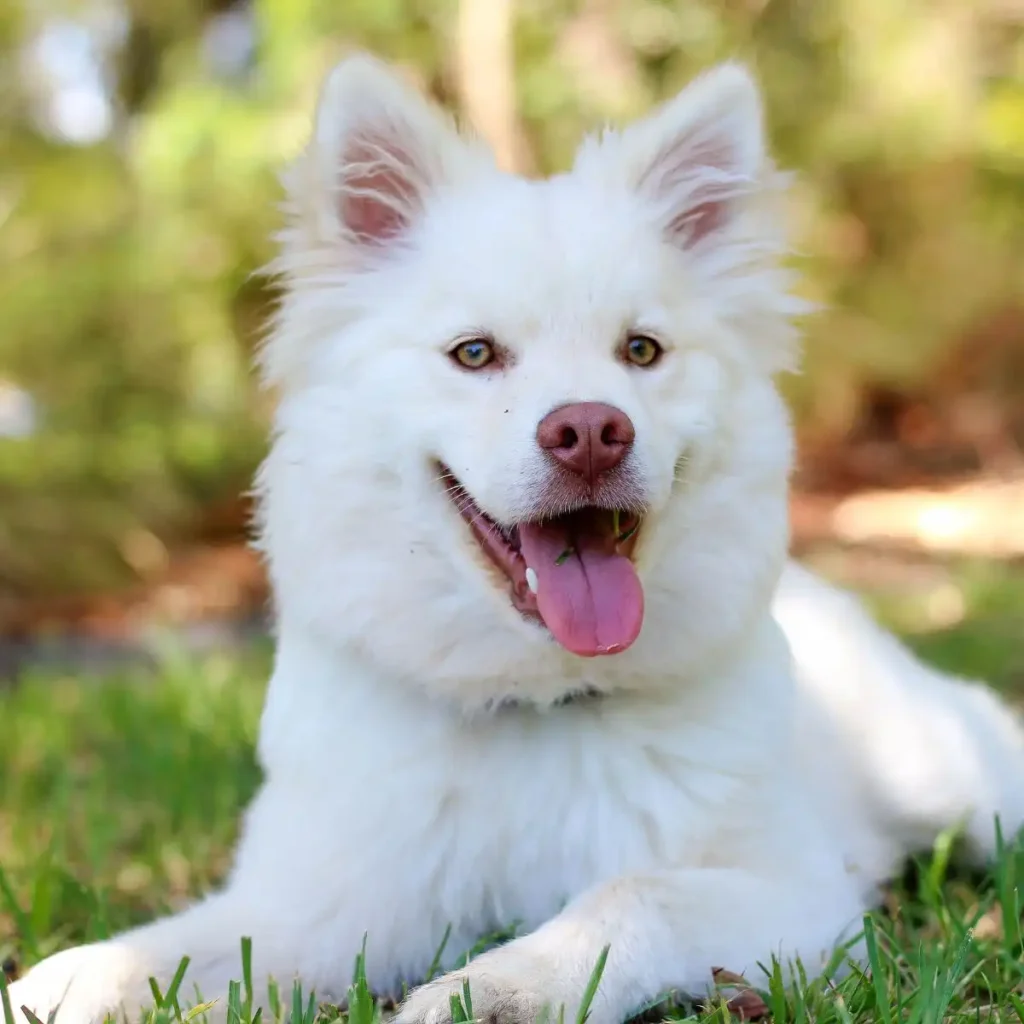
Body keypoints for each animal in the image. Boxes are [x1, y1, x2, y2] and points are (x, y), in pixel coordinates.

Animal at [8, 54, 1024, 1024]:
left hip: (960, 780)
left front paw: (499, 988)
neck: (535, 703)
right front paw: (56, 984)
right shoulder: (315, 909)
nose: (590, 431)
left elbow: (625, 897)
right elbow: (151, 952)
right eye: (475, 354)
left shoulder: (797, 897)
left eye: (641, 351)